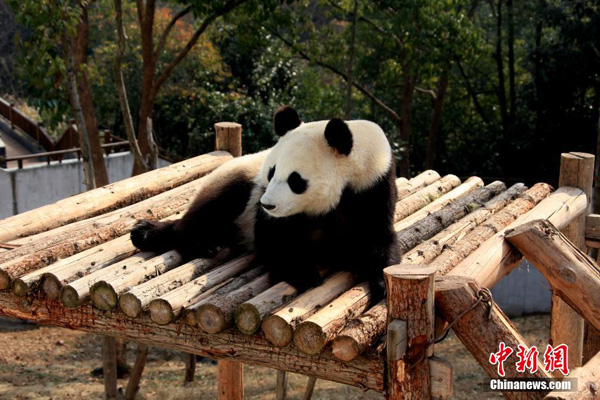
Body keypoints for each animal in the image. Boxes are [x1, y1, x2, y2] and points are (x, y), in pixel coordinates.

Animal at [134, 106, 400, 294]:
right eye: (271, 172)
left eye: (296, 180)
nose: (267, 204)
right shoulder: (268, 203)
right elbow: (273, 241)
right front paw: (304, 273)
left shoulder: (372, 188)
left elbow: (377, 239)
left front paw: (380, 281)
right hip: (237, 182)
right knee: (208, 211)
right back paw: (189, 241)